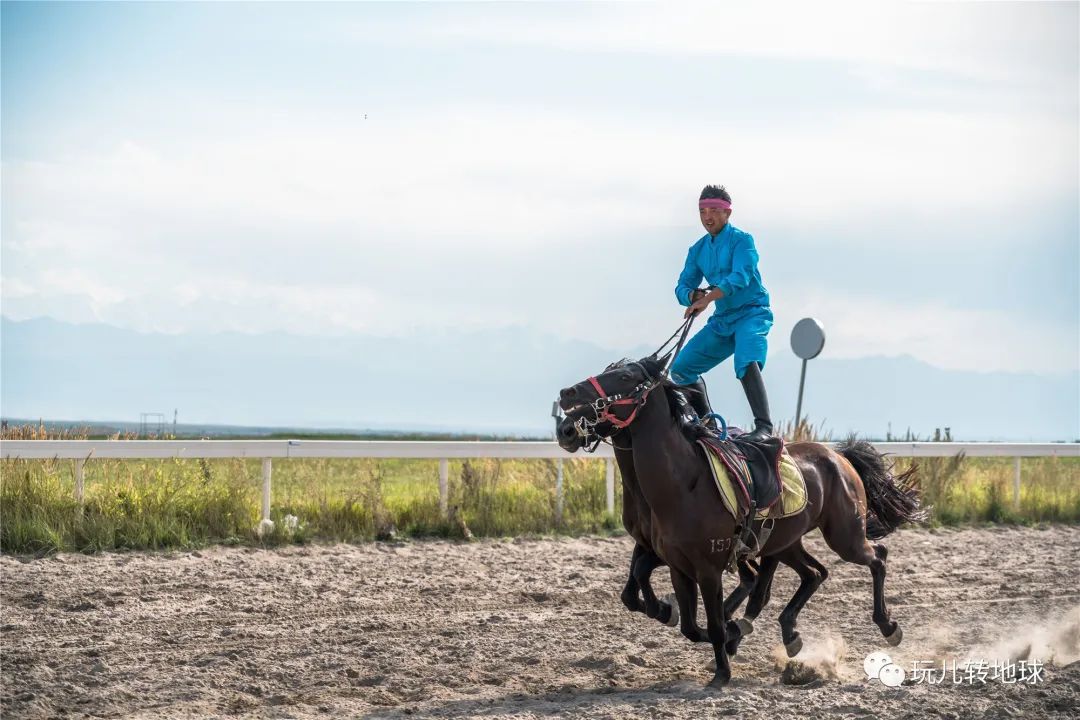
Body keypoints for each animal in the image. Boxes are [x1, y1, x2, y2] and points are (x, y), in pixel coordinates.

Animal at [557, 358, 928, 690]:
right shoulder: (674, 562)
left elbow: (712, 621)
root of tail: (839, 456)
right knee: (814, 573)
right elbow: (681, 618)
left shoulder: (707, 568)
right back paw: (788, 632)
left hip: (844, 535)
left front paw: (722, 670)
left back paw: (887, 625)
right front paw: (685, 617)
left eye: (624, 375)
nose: (565, 399)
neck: (680, 483)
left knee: (877, 557)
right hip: (786, 542)